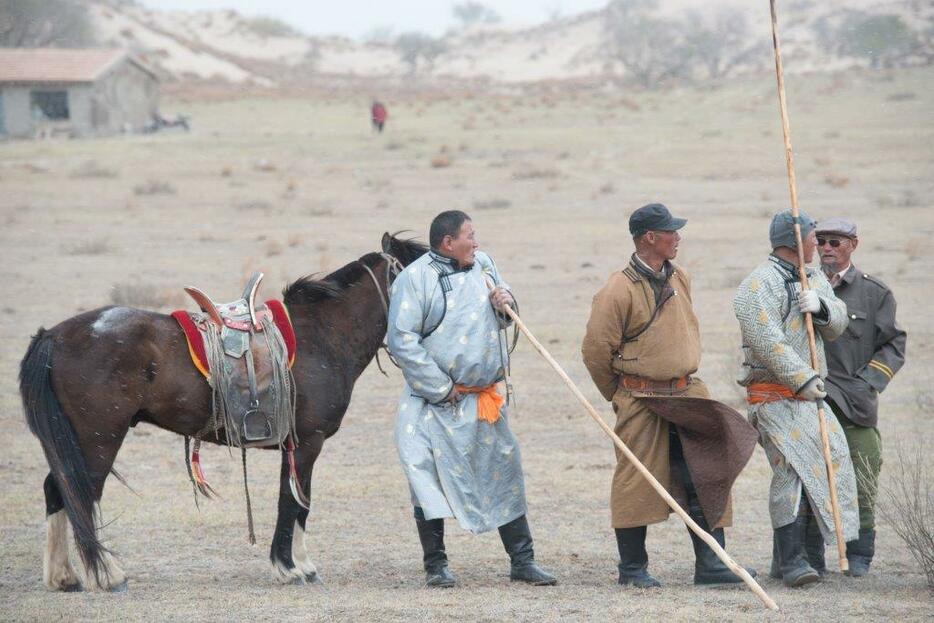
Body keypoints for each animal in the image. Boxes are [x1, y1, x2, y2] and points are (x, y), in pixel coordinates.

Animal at [18, 232, 428, 592]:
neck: (324, 335)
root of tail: (53, 335)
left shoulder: (299, 445)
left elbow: (300, 502)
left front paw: (302, 565)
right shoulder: (307, 443)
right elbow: (291, 501)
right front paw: (288, 568)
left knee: (56, 489)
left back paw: (63, 577)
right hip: (98, 440)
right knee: (81, 493)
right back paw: (108, 576)